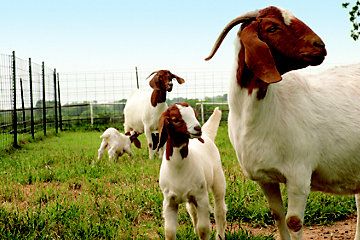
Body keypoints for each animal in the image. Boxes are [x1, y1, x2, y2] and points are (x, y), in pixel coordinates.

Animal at [158, 103, 225, 240]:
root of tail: (207, 136)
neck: (178, 167)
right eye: (175, 119)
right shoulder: (169, 201)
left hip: (218, 179)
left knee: (219, 210)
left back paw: (220, 235)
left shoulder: (201, 198)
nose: (198, 128)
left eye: (194, 114)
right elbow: (169, 232)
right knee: (192, 210)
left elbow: (203, 229)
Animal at [207, 5, 360, 240]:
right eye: (272, 28)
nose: (320, 46)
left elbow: (293, 221)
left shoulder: (299, 173)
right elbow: (277, 214)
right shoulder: (264, 178)